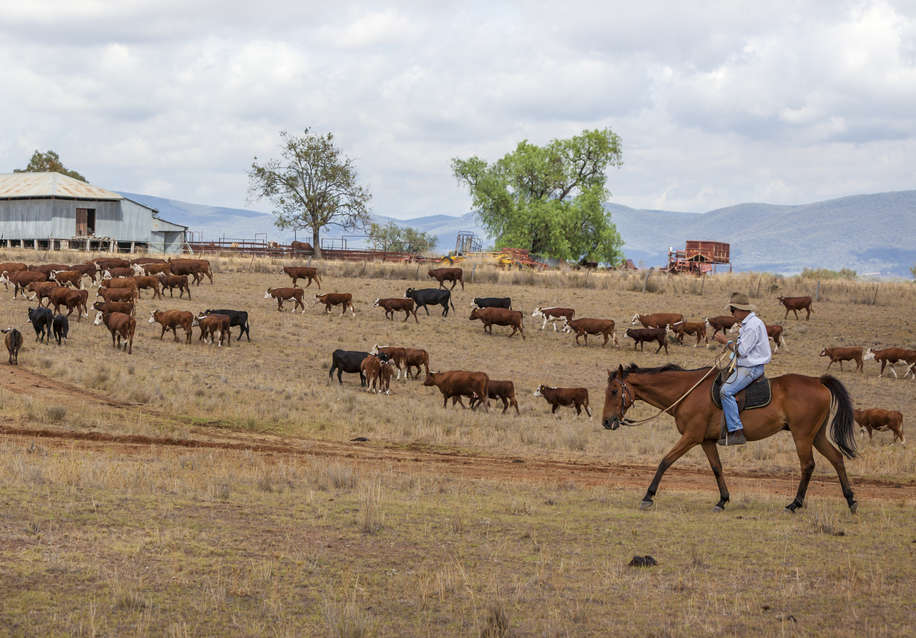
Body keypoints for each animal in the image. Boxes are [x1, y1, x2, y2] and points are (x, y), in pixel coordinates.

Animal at [602, 363, 858, 513]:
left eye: (614, 391)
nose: (606, 422)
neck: (688, 392)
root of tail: (817, 381)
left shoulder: (691, 437)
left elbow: (665, 461)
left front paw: (648, 496)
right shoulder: (706, 441)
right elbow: (717, 468)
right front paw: (722, 500)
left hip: (802, 436)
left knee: (808, 465)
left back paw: (794, 504)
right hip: (817, 436)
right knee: (837, 458)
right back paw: (851, 500)